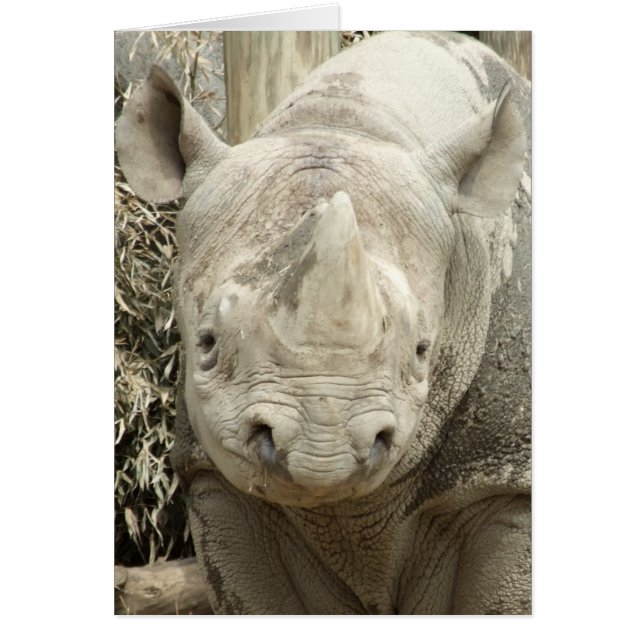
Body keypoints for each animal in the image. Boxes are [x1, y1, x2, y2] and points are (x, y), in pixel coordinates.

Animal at [116, 31, 531, 614]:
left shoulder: (504, 474)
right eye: (207, 343)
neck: (350, 118)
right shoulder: (214, 480)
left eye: (423, 351)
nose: (322, 445)